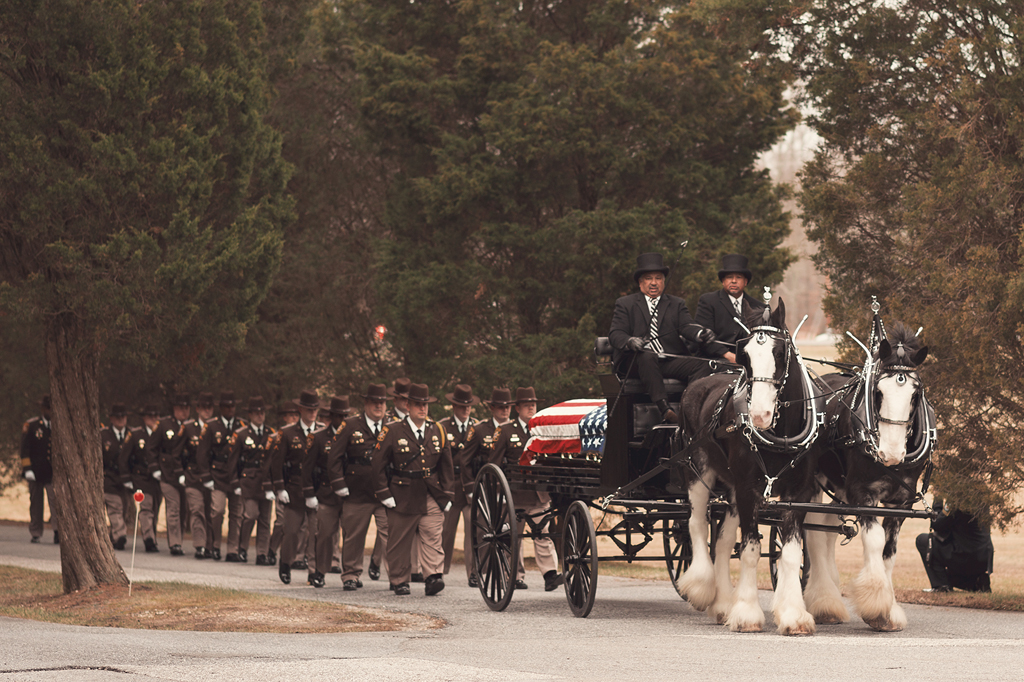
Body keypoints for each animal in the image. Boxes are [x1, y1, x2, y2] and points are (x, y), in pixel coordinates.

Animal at [675, 299, 827, 630]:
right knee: (696, 524)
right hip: (697, 469)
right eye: (743, 354)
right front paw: (746, 611)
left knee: (721, 541)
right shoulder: (748, 490)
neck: (782, 435)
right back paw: (701, 587)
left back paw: (722, 604)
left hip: (731, 489)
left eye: (780, 353)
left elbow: (790, 553)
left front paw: (793, 613)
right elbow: (750, 550)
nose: (758, 415)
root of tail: (700, 383)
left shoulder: (799, 493)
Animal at [802, 321, 933, 630]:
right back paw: (824, 599)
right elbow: (874, 541)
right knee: (812, 528)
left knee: (825, 527)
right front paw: (876, 604)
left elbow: (889, 550)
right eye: (879, 392)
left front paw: (890, 609)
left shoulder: (901, 502)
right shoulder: (863, 493)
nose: (891, 453)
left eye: (916, 394)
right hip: (813, 481)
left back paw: (827, 598)